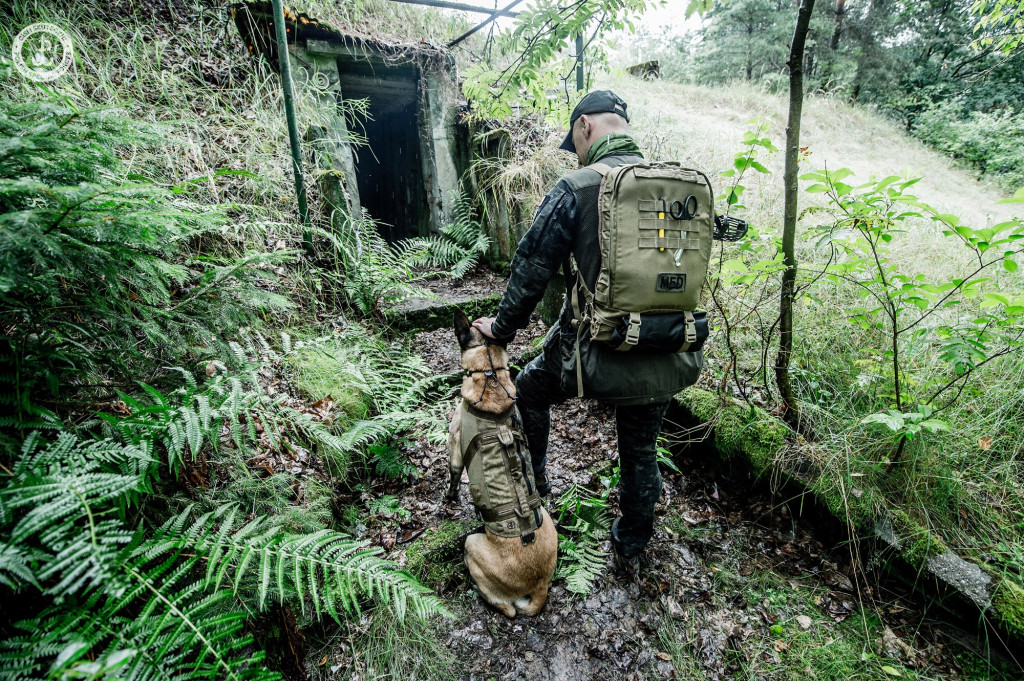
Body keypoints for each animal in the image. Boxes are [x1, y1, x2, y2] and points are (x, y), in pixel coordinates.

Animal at [448, 311, 561, 618]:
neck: (489, 374)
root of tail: (539, 584)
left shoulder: (455, 449)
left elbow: (452, 477)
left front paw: (449, 499)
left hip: (471, 544)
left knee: (506, 608)